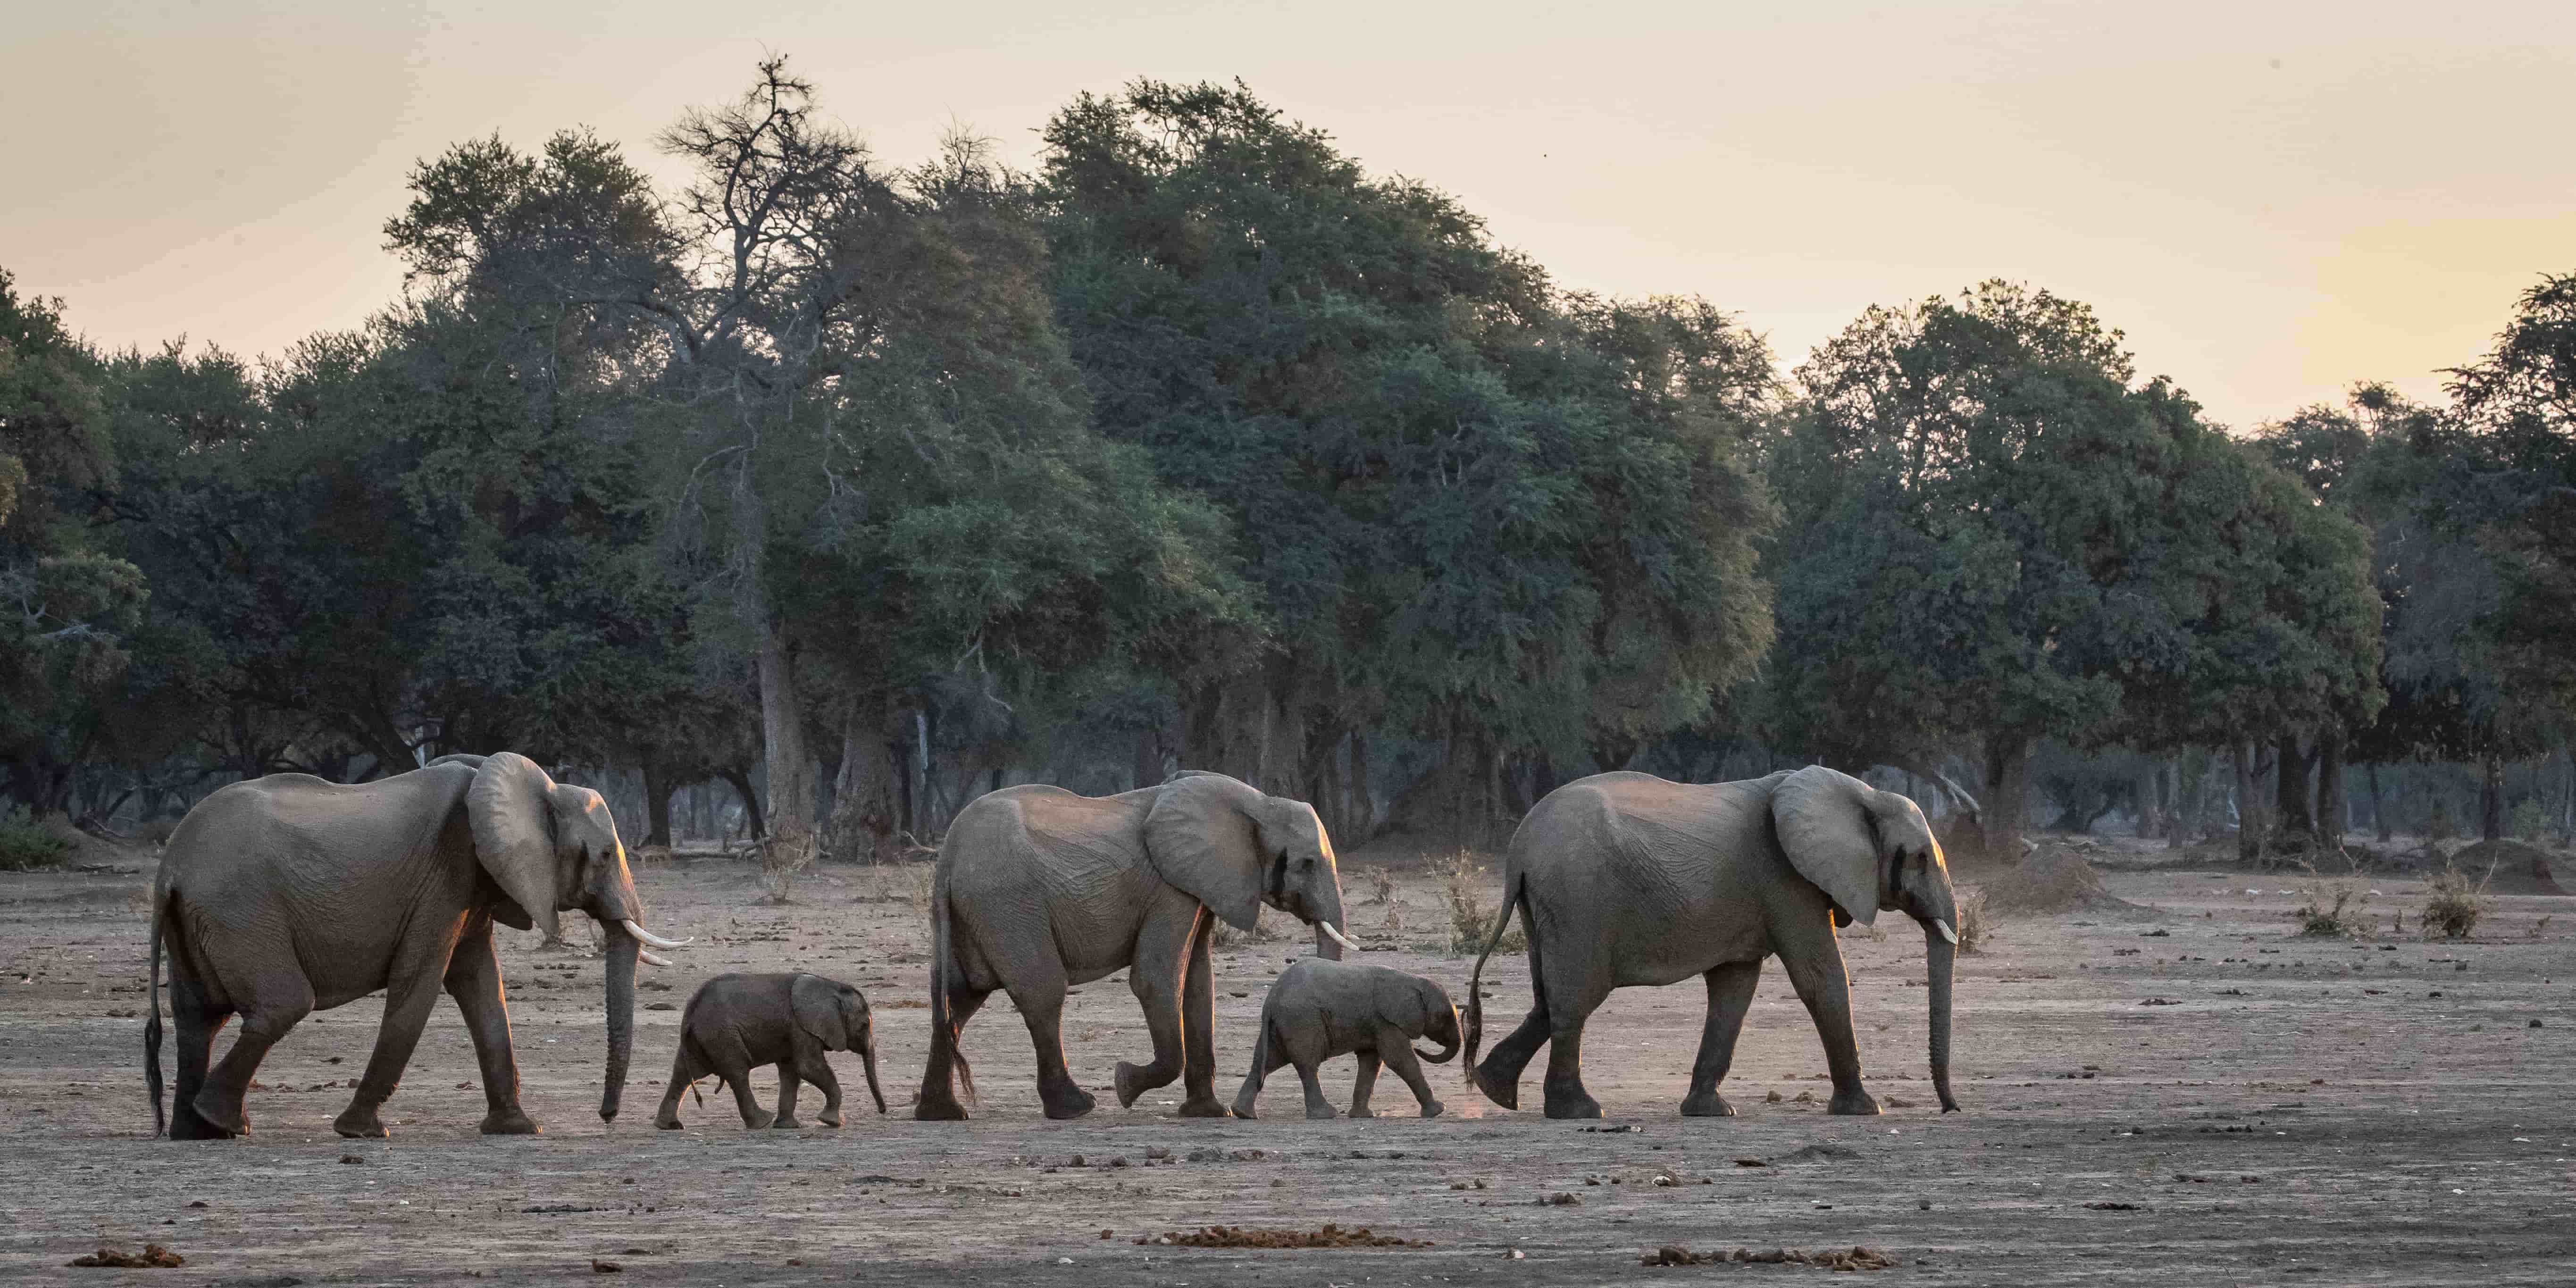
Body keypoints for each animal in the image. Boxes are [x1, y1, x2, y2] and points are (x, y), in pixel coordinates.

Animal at [142, 752, 692, 1139]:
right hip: (241, 911)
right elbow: (423, 982)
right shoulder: (444, 877)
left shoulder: (474, 882)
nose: (607, 1116)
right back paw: (223, 1123)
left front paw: (519, 1129)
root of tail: (170, 866)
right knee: (282, 1004)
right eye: (604, 856)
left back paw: (196, 1132)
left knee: (198, 1017)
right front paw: (363, 1132)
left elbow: (480, 985)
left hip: (199, 920)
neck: (535, 787)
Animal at [654, 973, 887, 1130]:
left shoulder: (792, 1030)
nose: (883, 1112)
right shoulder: (800, 1026)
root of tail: (691, 1010)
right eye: (864, 1025)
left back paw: (669, 1126)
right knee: (737, 1073)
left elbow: (792, 1072)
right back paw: (761, 1123)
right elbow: (808, 1067)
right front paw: (833, 1122)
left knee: (683, 1073)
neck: (831, 987)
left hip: (702, 1038)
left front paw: (788, 1126)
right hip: (722, 1035)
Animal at [914, 770, 1358, 1121]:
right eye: (1306, 865)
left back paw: (942, 1114)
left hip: (973, 913)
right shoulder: (1169, 889)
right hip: (1008, 905)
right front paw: (1124, 1083)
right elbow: (1155, 980)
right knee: (1043, 992)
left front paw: (1208, 1114)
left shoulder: (1199, 886)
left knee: (956, 999)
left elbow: (1199, 985)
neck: (1258, 803)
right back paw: (1077, 1108)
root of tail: (948, 854)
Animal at [1231, 958, 1461, 1120]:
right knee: (1307, 1064)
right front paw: (1439, 1111)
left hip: (1282, 1024)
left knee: (1266, 1062)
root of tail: (1270, 1000)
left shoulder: (1375, 1021)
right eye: (1445, 1017)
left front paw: (1363, 1116)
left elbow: (1372, 1062)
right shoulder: (1386, 1020)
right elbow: (1399, 1059)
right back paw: (1325, 1115)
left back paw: (1243, 1114)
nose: (1423, 1048)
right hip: (1301, 1020)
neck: (1413, 981)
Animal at [1463, 766, 1959, 1120]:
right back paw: (1578, 1112)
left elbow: (1734, 990)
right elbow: (1821, 978)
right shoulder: (1786, 880)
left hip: (1546, 907)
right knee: (1575, 997)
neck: (1865, 794)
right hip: (1576, 899)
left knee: (1548, 997)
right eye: (1918, 858)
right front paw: (1866, 1109)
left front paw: (1711, 1112)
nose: (1949, 1109)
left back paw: (1495, 1090)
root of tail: (1518, 851)